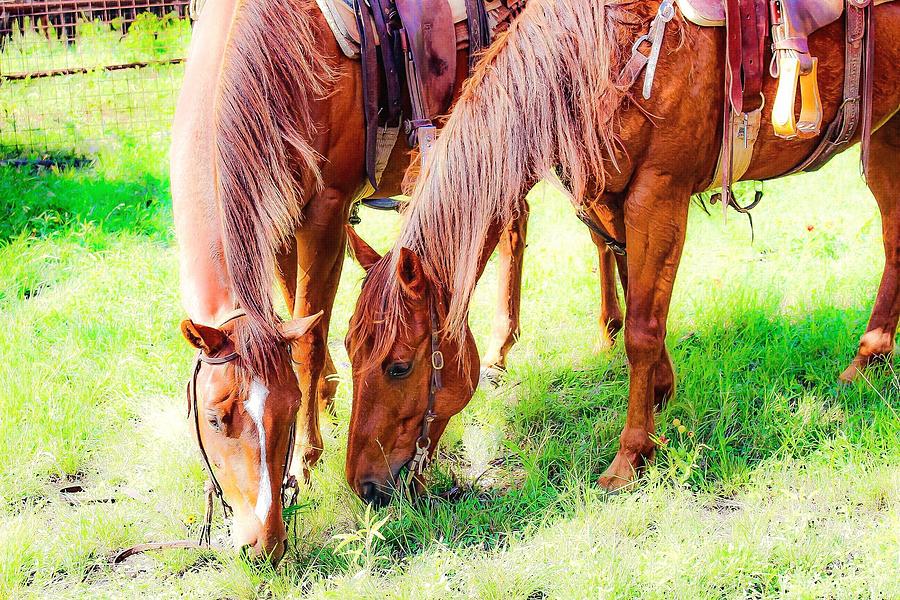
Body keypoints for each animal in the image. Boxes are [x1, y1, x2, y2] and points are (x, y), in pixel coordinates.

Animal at [168, 0, 628, 563]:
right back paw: (505, 351)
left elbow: (308, 343)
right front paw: (329, 399)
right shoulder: (278, 213)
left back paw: (602, 332)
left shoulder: (326, 210)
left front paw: (307, 457)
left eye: (286, 409)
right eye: (214, 418)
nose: (264, 541)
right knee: (519, 226)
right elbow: (296, 318)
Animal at [343, 0, 900, 504]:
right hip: (884, 132)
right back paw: (867, 359)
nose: (364, 486)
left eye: (398, 366)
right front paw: (661, 394)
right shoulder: (614, 199)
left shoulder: (658, 194)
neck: (606, 53)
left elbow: (641, 333)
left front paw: (631, 455)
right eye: (349, 351)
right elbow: (637, 294)